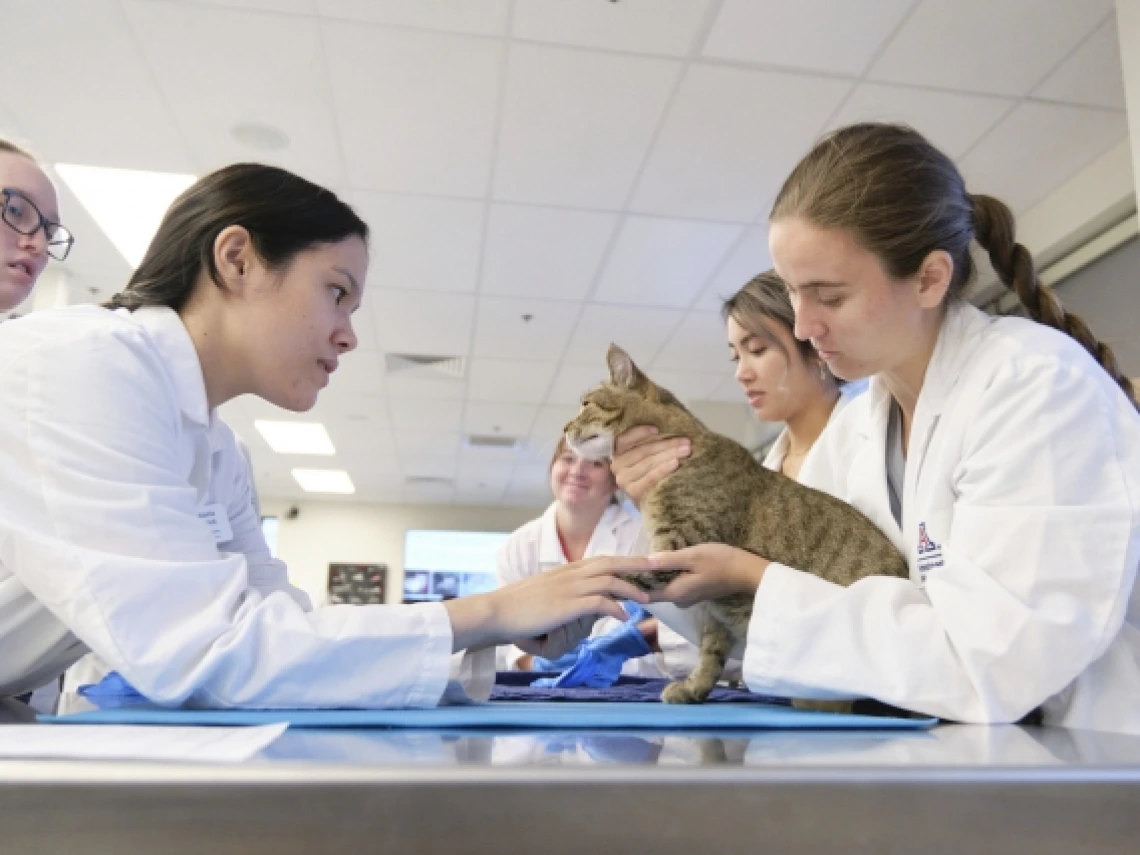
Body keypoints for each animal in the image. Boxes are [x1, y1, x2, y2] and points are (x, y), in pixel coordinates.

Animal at [563, 344, 907, 706]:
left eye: (586, 404)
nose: (564, 428)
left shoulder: (680, 545)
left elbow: (620, 571)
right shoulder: (715, 611)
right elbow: (711, 653)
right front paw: (693, 688)